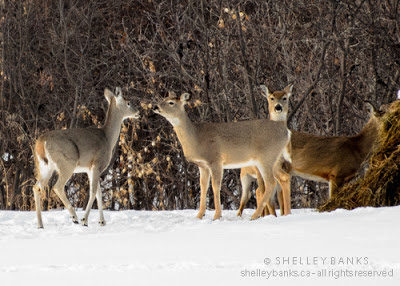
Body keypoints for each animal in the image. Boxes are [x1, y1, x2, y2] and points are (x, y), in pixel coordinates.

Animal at [32, 87, 140, 228]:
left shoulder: (90, 169)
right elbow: (93, 192)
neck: (107, 138)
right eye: (128, 102)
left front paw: (102, 222)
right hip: (67, 163)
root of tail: (41, 143)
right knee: (57, 186)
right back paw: (75, 217)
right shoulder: (96, 164)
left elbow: (99, 193)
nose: (138, 112)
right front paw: (85, 220)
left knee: (37, 187)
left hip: (44, 166)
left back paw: (40, 224)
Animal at [152, 90, 290, 220]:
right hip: (274, 160)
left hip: (266, 157)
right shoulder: (202, 165)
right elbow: (203, 187)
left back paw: (255, 215)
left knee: (271, 183)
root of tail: (286, 131)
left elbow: (215, 186)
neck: (196, 138)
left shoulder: (215, 160)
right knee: (279, 180)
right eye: (163, 98)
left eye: (171, 102)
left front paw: (217, 216)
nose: (155, 106)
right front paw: (199, 215)